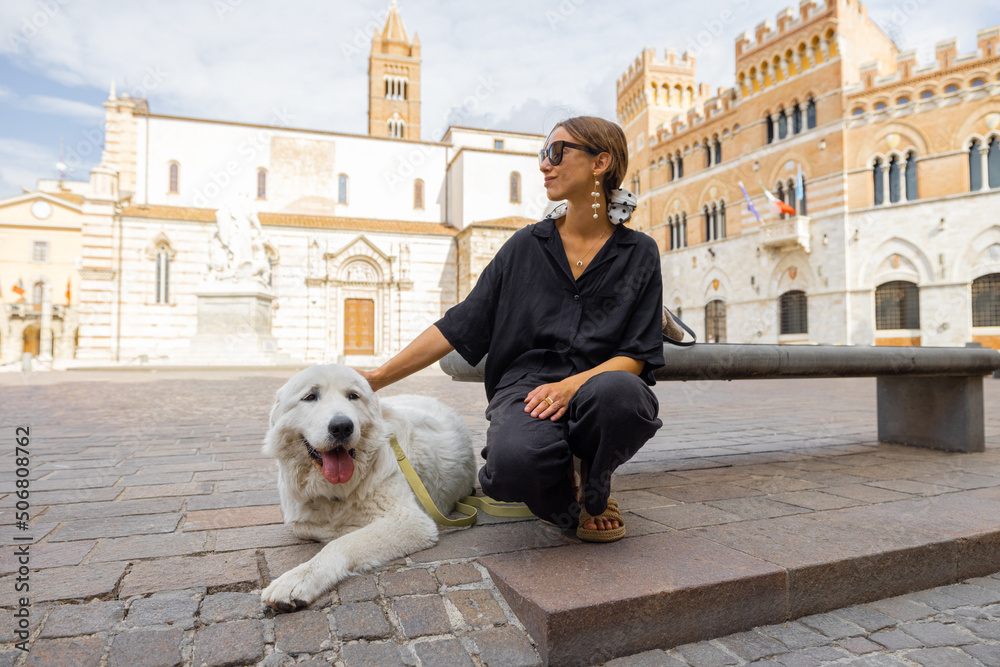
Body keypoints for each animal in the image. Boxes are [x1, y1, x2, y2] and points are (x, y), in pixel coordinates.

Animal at [258, 366, 476, 612]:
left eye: (353, 396)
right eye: (310, 397)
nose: (342, 426)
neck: (338, 488)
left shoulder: (412, 521)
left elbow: (338, 543)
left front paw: (299, 578)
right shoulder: (299, 515)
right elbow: (305, 527)